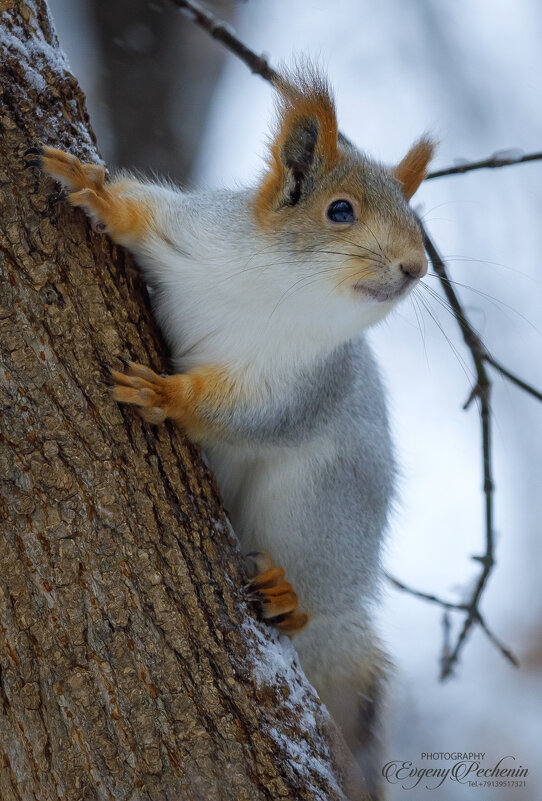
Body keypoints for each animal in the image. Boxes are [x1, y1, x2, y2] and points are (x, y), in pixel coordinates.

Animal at [30, 69, 438, 800]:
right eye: (339, 211)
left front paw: (167, 396)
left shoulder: (302, 383)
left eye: (419, 224)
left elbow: (249, 415)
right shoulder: (199, 240)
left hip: (320, 510)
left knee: (316, 598)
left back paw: (288, 597)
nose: (416, 267)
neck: (281, 292)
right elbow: (146, 215)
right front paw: (89, 184)